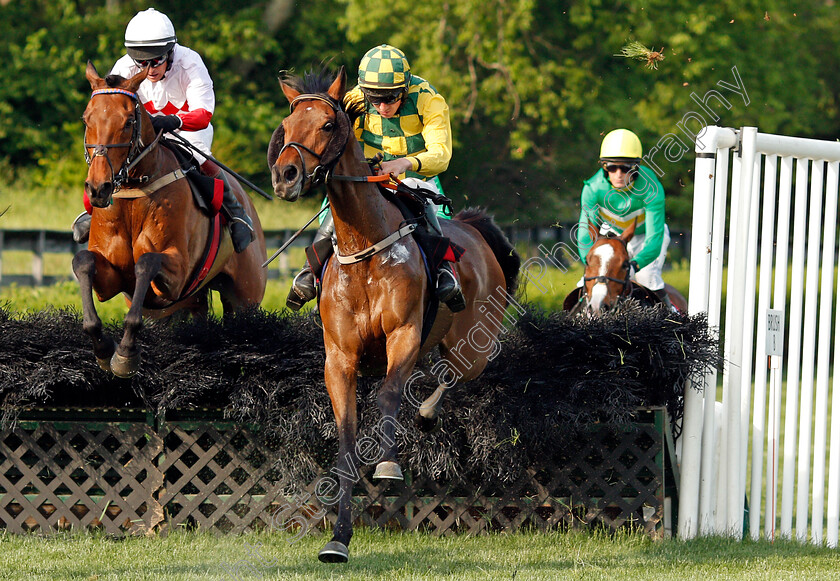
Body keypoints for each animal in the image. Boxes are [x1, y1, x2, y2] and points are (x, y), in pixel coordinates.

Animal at [75, 60, 268, 376]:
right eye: (86, 119)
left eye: (129, 121)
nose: (98, 188)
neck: (135, 191)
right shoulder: (117, 280)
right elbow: (83, 261)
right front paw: (103, 348)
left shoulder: (176, 274)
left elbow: (146, 262)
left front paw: (125, 355)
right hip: (182, 303)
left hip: (245, 297)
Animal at [266, 68, 520, 560]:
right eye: (286, 128)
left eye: (328, 124)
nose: (286, 176)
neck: (365, 250)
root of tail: (476, 229)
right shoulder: (339, 358)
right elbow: (346, 440)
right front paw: (338, 538)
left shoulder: (402, 334)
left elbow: (386, 396)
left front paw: (386, 466)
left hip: (472, 346)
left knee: (450, 376)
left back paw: (426, 411)